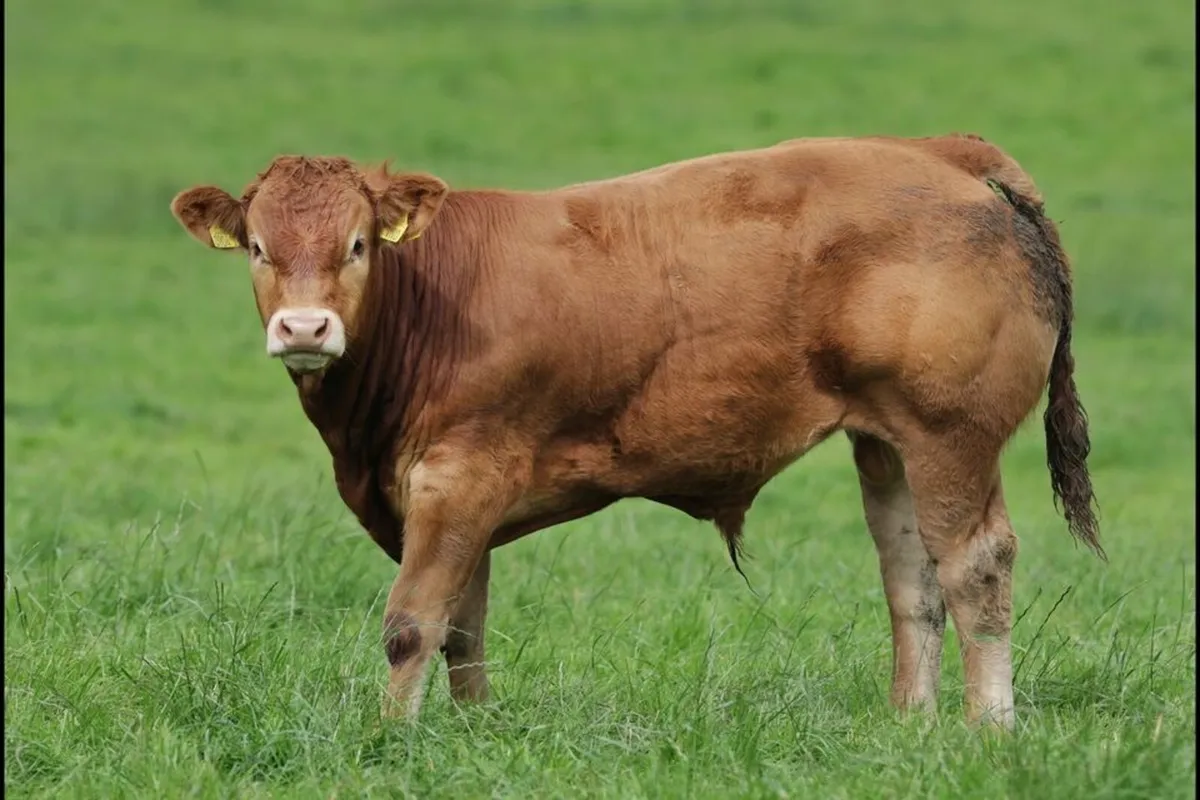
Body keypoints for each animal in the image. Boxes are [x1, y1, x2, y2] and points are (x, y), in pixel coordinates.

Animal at [169, 132, 1102, 728]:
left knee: (975, 567)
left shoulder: (457, 476)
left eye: (359, 244)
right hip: (888, 443)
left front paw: (390, 740)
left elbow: (413, 623)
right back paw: (909, 724)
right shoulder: (454, 495)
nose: (304, 328)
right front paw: (470, 734)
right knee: (913, 578)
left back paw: (988, 729)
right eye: (258, 247)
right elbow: (462, 625)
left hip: (951, 432)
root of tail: (939, 149)